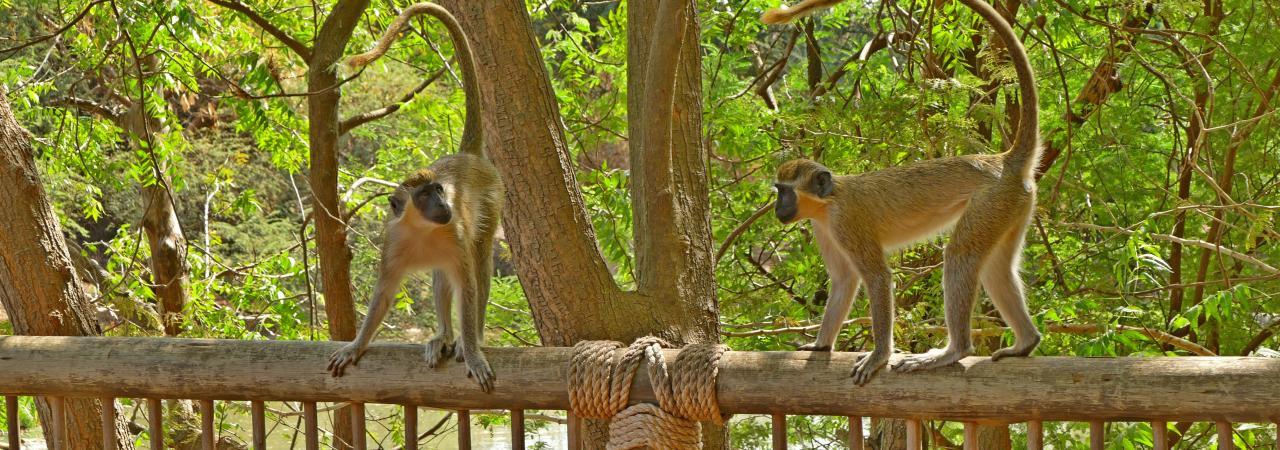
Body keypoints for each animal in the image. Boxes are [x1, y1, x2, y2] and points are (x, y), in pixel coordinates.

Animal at [325, 1, 499, 391]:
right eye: (425, 195)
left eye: (439, 190)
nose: (445, 204)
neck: (422, 230)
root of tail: (468, 157)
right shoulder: (393, 242)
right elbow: (384, 293)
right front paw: (356, 345)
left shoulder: (454, 232)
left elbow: (468, 286)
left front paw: (474, 351)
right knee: (442, 275)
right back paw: (444, 336)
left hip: (492, 200)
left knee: (478, 262)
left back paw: (467, 339)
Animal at [757, 0, 1039, 383]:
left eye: (784, 192)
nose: (777, 208)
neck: (830, 200)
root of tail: (1002, 161)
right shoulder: (823, 227)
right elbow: (843, 280)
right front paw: (820, 345)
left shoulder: (846, 222)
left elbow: (876, 277)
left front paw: (878, 356)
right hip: (1010, 206)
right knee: (996, 266)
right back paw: (1026, 342)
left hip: (990, 202)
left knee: (961, 256)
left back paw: (953, 351)